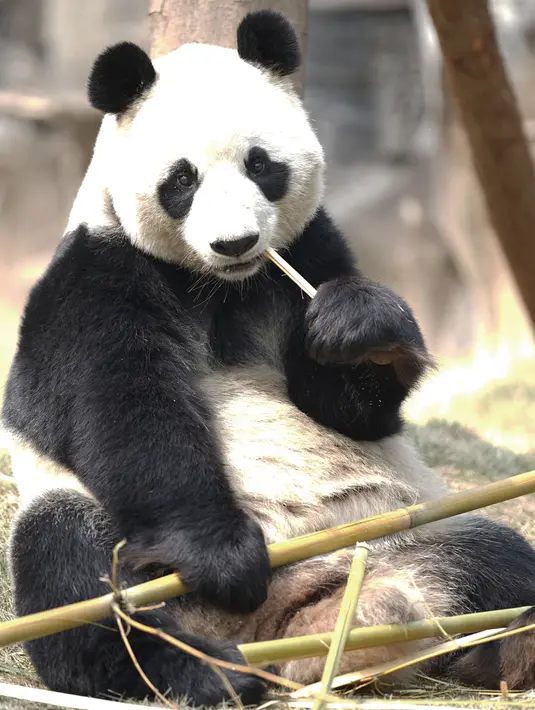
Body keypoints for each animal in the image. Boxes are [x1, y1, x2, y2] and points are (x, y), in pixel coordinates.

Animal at [3, 9, 535, 706]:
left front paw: (361, 327)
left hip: (392, 530)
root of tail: (286, 626)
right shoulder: (97, 275)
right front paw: (223, 556)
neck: (219, 287)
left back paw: (506, 648)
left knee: (499, 559)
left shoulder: (310, 251)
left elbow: (346, 408)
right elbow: (124, 409)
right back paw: (201, 671)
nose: (236, 243)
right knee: (73, 575)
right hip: (124, 550)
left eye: (261, 165)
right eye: (182, 179)